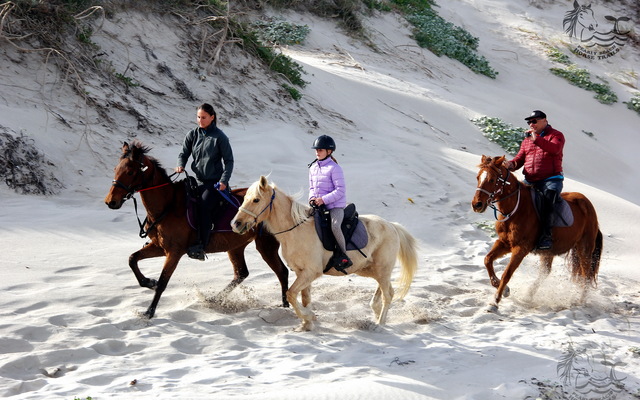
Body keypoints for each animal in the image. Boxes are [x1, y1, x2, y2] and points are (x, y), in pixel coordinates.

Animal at [104, 141, 289, 319]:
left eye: (129, 172)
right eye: (115, 169)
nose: (110, 202)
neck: (168, 206)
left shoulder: (174, 252)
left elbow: (163, 281)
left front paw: (149, 311)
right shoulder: (159, 247)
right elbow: (132, 259)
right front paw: (149, 282)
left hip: (265, 245)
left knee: (282, 272)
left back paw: (286, 305)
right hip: (235, 246)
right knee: (241, 273)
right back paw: (215, 299)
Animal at [230, 176, 419, 331]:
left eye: (256, 200)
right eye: (245, 199)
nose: (236, 224)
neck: (295, 230)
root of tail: (392, 226)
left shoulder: (311, 272)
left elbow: (290, 294)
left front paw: (308, 317)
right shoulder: (301, 273)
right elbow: (303, 298)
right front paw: (306, 324)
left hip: (381, 269)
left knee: (388, 295)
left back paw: (379, 324)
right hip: (372, 270)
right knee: (384, 291)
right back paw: (378, 315)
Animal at [471, 155, 602, 312]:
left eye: (491, 179)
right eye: (478, 177)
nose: (476, 205)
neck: (516, 209)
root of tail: (590, 207)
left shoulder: (520, 249)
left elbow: (506, 274)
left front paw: (495, 301)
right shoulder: (504, 243)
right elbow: (487, 260)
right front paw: (505, 290)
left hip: (584, 248)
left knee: (586, 275)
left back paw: (579, 301)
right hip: (549, 251)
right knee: (545, 272)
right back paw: (528, 295)